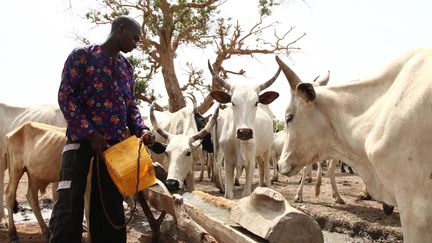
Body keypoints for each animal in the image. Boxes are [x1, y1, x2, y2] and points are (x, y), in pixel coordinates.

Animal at [208, 60, 280, 199]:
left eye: (256, 103)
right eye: (232, 102)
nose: (245, 132)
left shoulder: (250, 163)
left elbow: (246, 194)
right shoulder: (228, 163)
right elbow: (228, 195)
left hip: (267, 149)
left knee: (266, 168)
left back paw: (267, 186)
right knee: (261, 166)